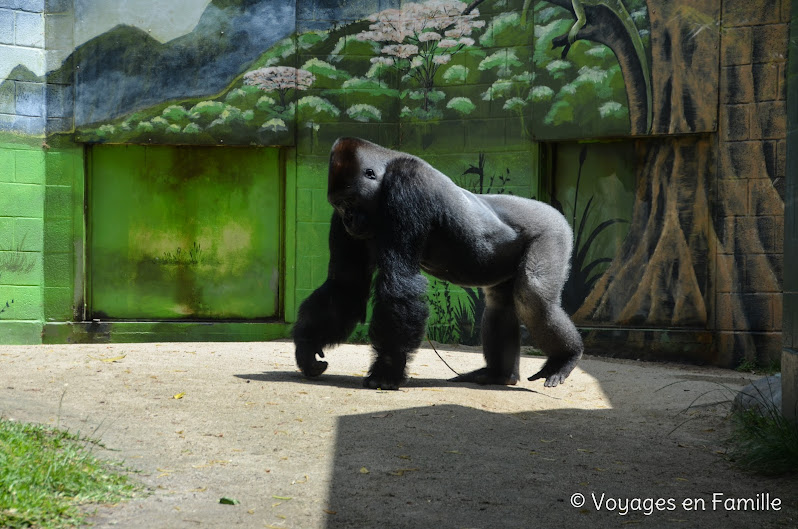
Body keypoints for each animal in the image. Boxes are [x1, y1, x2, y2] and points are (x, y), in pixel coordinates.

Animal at [290, 138, 584, 390]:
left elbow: (399, 282)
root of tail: (550, 209)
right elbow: (346, 284)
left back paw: (565, 356)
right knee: (500, 303)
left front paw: (386, 370)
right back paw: (498, 373)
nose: (348, 220)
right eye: (339, 206)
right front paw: (307, 343)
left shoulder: (408, 185)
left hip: (552, 230)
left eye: (349, 202)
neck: (386, 170)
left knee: (533, 296)